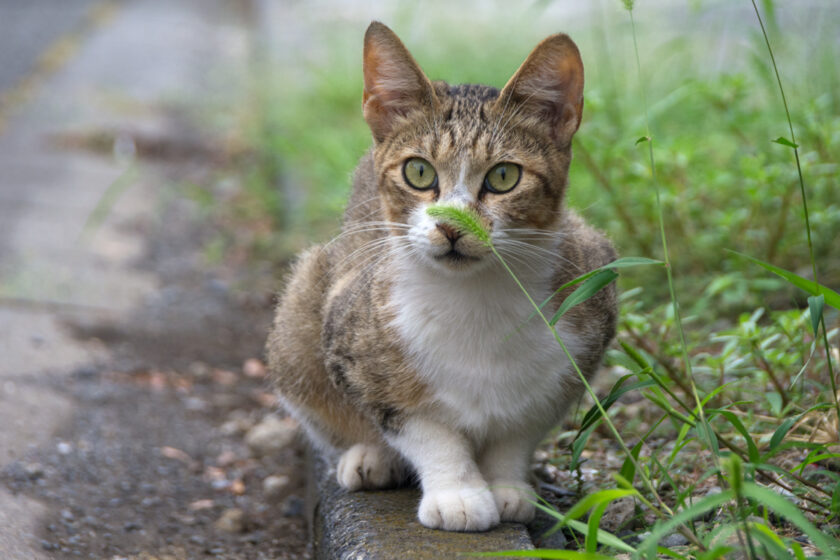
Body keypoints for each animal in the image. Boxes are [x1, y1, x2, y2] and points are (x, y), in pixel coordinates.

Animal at [266, 20, 620, 528]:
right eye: (418, 171)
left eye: (504, 177)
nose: (451, 227)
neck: (474, 298)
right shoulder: (352, 342)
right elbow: (423, 428)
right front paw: (459, 493)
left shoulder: (580, 334)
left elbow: (519, 431)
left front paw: (508, 486)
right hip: (299, 316)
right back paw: (371, 457)